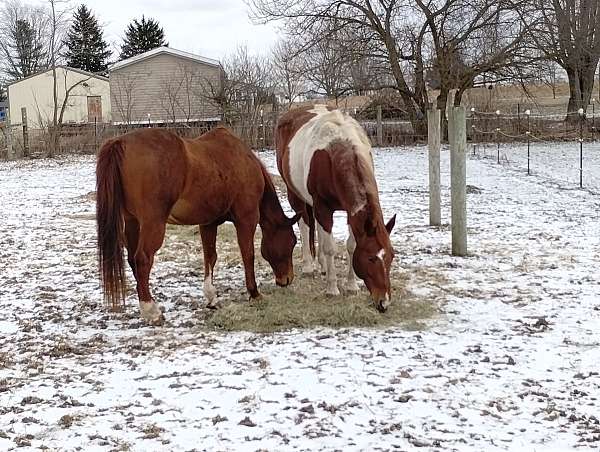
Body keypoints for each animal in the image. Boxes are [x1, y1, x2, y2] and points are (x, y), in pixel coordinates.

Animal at [97, 127, 300, 324]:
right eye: (292, 242)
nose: (287, 279)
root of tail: (120, 142)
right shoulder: (246, 219)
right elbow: (248, 255)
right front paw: (254, 293)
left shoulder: (208, 223)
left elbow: (210, 256)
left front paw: (212, 298)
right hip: (152, 223)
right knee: (142, 259)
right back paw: (152, 311)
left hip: (133, 222)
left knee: (132, 259)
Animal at [274, 104, 396, 312]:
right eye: (371, 258)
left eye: (391, 256)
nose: (384, 302)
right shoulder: (323, 207)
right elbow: (330, 247)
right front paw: (332, 288)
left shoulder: (349, 212)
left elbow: (351, 245)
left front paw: (351, 286)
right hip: (295, 195)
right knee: (304, 225)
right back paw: (309, 266)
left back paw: (323, 265)